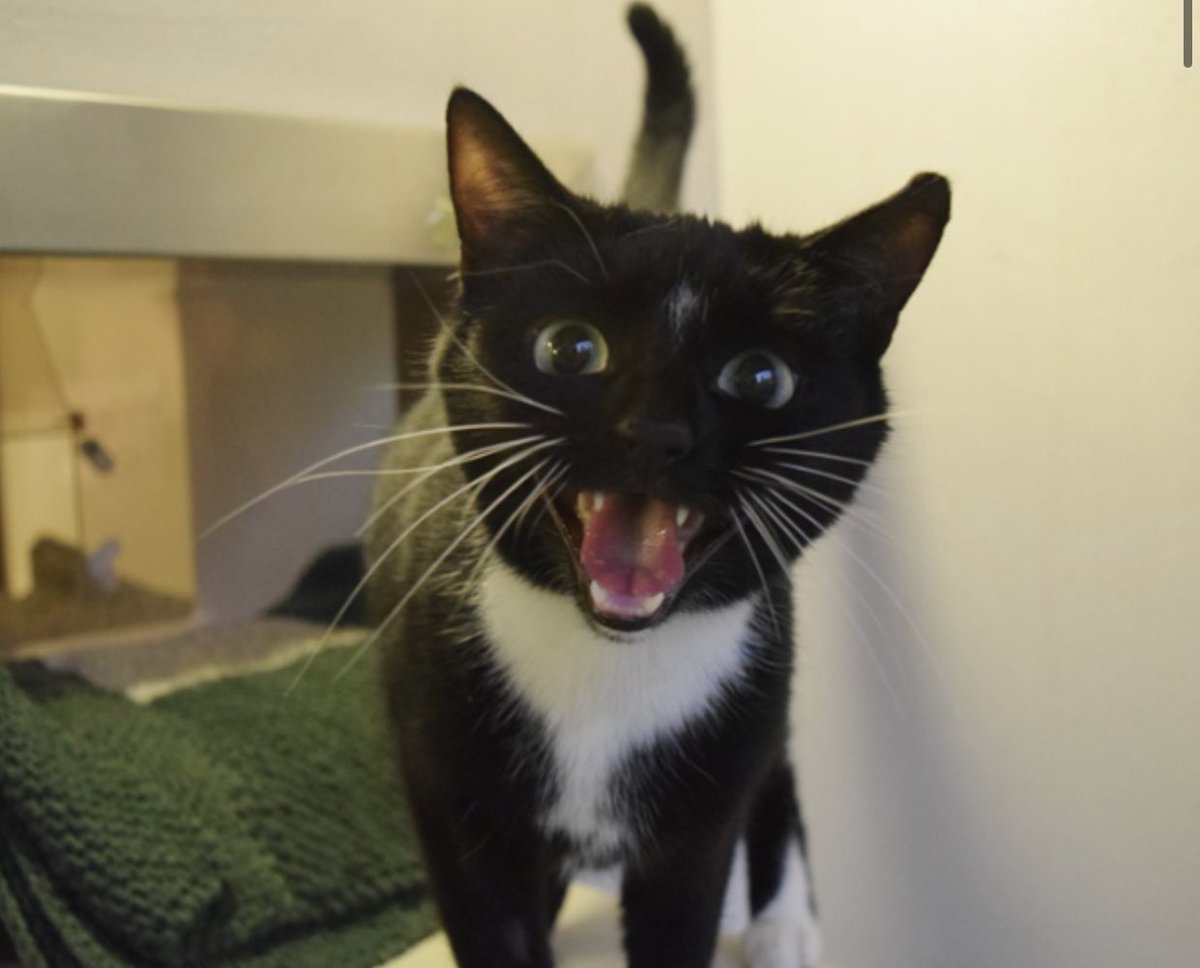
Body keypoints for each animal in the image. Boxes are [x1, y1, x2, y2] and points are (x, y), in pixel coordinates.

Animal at [369, 9, 950, 968]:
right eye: (570, 348)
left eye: (760, 377)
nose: (657, 433)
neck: (609, 667)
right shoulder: (449, 794)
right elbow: (495, 922)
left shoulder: (700, 821)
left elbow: (697, 889)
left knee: (777, 763)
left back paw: (786, 921)